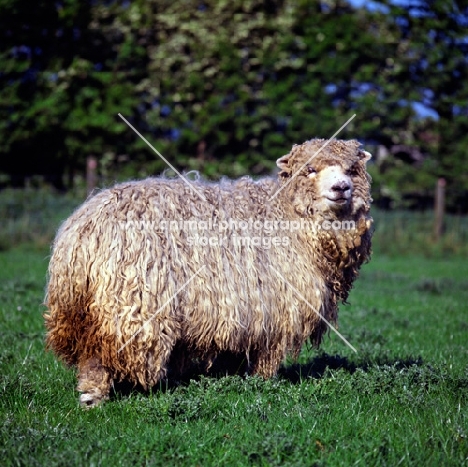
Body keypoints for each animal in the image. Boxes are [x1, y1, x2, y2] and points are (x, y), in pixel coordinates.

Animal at [44, 138, 372, 406]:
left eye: (352, 169)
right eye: (310, 169)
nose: (341, 188)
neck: (287, 213)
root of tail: (83, 231)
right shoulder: (274, 308)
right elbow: (266, 359)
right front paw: (263, 384)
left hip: (79, 311)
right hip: (129, 303)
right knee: (101, 354)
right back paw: (94, 397)